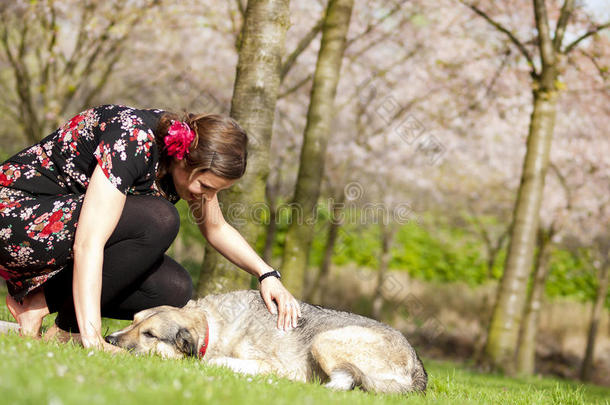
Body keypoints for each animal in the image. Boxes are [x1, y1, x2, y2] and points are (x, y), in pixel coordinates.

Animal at [105, 288, 428, 392]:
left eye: (149, 335)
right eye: (133, 320)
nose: (109, 338)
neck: (211, 326)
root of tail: (418, 367)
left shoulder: (268, 364)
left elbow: (213, 362)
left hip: (324, 340)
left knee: (344, 382)